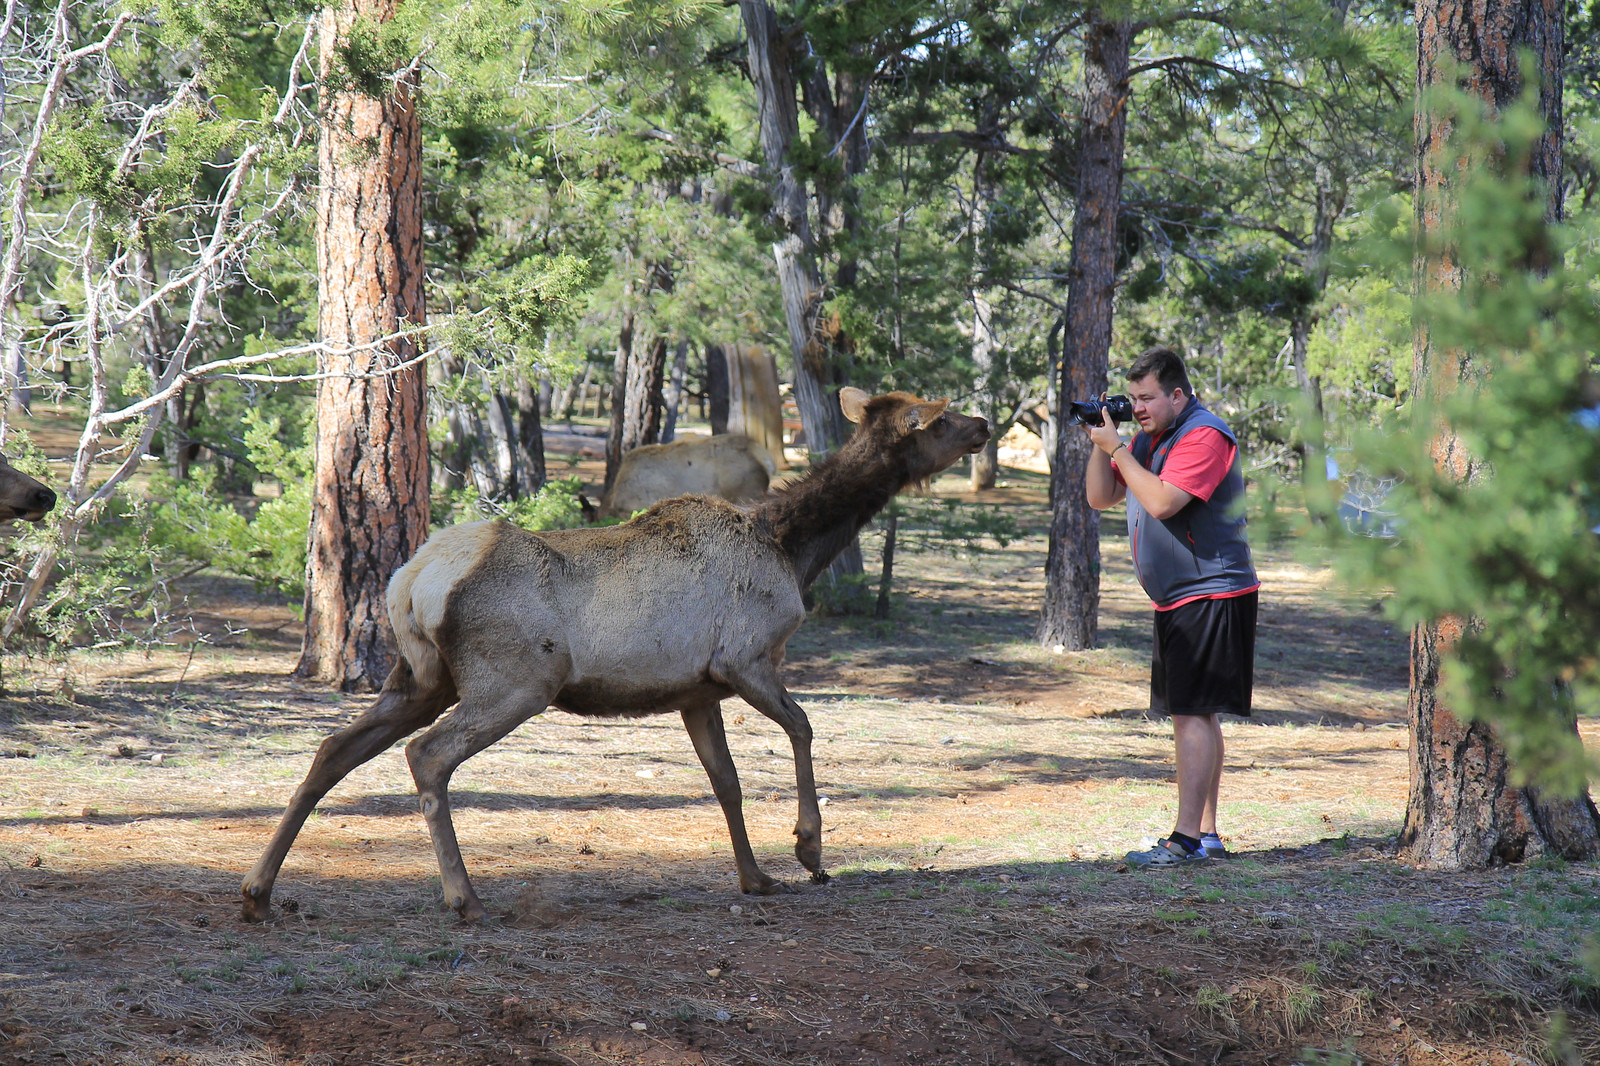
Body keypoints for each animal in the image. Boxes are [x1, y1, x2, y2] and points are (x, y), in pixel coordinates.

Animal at [243, 385, 985, 915]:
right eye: (939, 420)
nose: (983, 425)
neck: (794, 550)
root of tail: (410, 583)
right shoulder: (746, 657)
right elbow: (803, 727)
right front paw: (807, 849)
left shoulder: (697, 691)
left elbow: (727, 782)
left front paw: (755, 878)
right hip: (516, 679)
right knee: (427, 755)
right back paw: (464, 897)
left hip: (419, 679)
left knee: (332, 749)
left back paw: (258, 890)